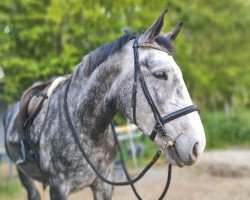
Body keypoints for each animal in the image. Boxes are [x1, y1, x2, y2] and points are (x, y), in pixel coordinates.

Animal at [3, 10, 206, 200]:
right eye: (160, 74)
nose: (198, 145)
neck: (85, 129)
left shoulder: (104, 185)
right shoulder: (58, 188)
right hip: (24, 174)